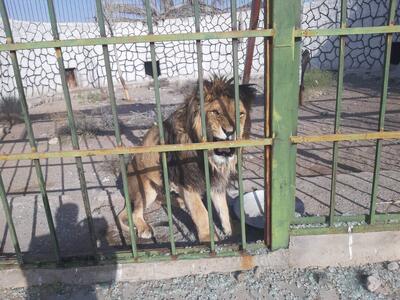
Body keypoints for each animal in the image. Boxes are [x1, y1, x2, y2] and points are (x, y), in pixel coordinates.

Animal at [119, 76, 256, 243]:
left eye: (241, 114)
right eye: (216, 112)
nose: (231, 132)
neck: (207, 157)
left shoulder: (216, 182)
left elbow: (223, 209)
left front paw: (235, 233)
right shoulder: (188, 183)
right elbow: (201, 212)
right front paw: (208, 238)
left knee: (162, 198)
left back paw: (180, 202)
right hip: (147, 187)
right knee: (135, 212)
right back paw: (145, 228)